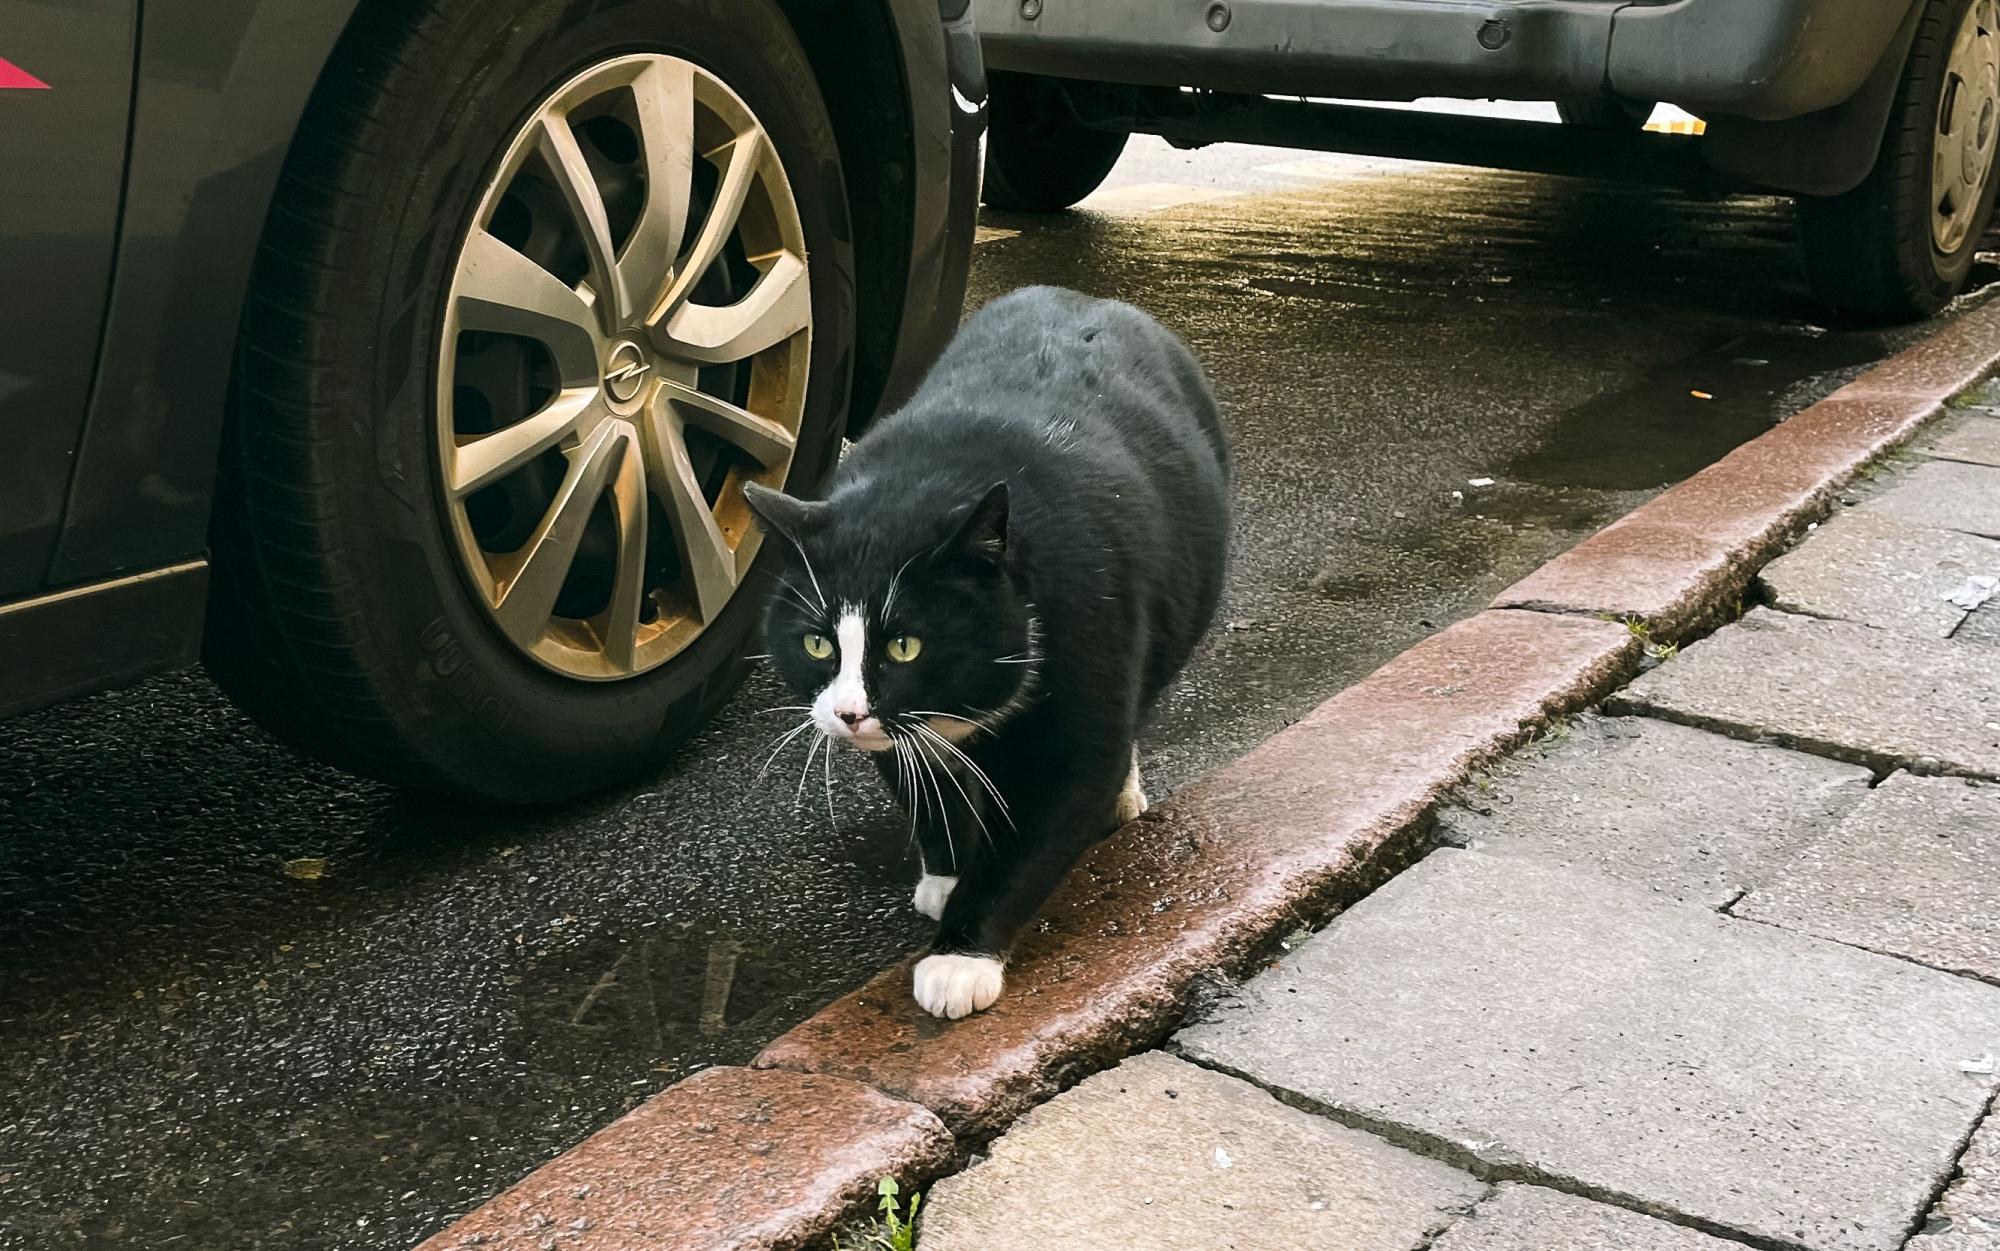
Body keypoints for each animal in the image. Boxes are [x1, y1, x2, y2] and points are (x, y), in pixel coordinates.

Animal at [744, 287, 1224, 1019]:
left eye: (906, 644)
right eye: (818, 642)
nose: (849, 713)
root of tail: (1092, 298)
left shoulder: (1088, 650)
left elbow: (1043, 824)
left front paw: (958, 956)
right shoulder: (902, 741)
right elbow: (927, 793)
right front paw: (946, 878)